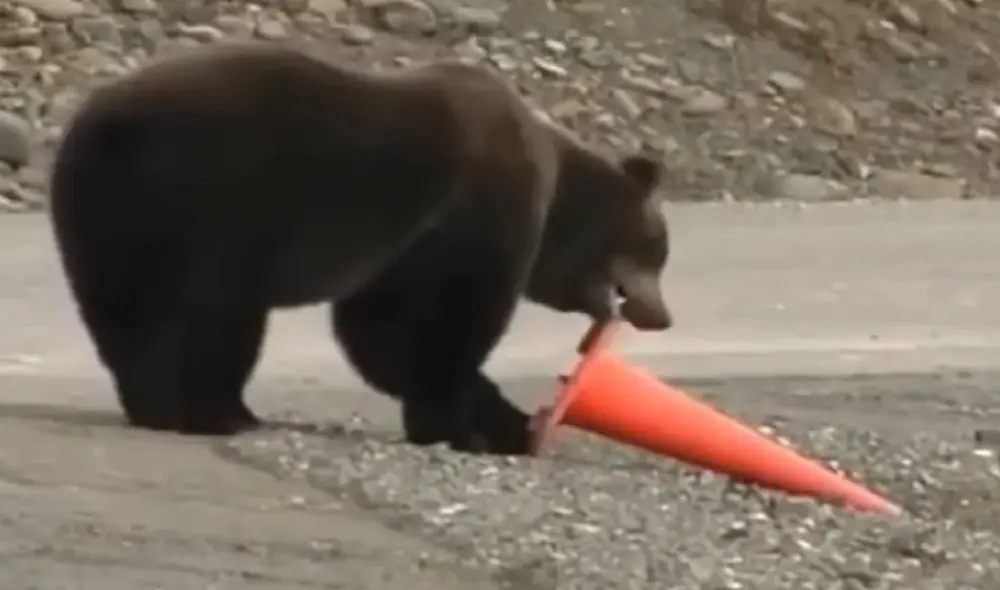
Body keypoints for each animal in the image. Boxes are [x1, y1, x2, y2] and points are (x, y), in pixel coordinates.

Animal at [48, 41, 671, 455]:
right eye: (658, 249)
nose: (661, 315)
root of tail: (108, 120)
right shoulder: (476, 212)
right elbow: (451, 324)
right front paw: (485, 425)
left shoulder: (403, 249)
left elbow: (381, 335)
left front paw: (486, 419)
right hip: (217, 200)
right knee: (213, 314)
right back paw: (212, 412)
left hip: (102, 211)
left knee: (126, 311)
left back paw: (163, 403)